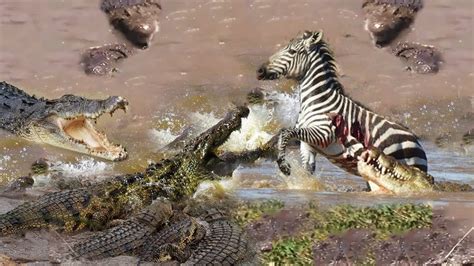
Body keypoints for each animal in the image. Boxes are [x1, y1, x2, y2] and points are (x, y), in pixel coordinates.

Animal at [258, 30, 428, 189]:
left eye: (292, 51)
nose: (259, 70)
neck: (316, 101)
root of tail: (417, 142)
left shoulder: (324, 134)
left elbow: (285, 132)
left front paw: (283, 166)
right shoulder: (308, 145)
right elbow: (304, 167)